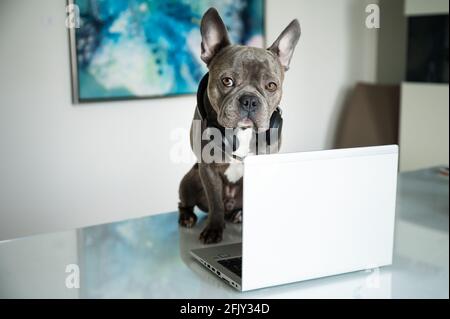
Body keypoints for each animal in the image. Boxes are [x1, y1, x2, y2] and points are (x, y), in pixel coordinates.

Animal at [178, 8, 300, 245]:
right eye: (227, 81)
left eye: (271, 86)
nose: (250, 100)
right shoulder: (208, 168)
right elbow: (215, 202)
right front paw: (214, 230)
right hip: (190, 180)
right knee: (187, 203)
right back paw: (187, 217)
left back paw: (239, 214)